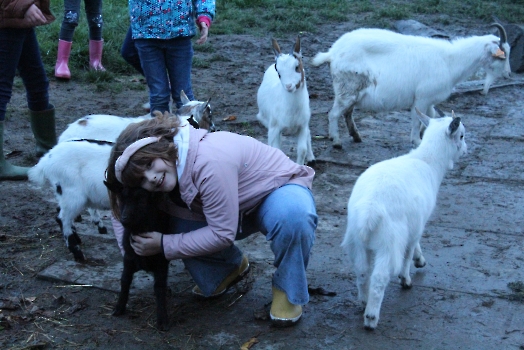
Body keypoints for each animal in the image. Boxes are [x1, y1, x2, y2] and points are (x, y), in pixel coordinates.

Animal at [255, 37, 314, 165]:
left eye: (297, 67)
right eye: (278, 70)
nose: (288, 86)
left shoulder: (302, 125)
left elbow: (302, 150)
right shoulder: (274, 128)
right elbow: (276, 149)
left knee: (308, 133)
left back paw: (311, 158)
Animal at [342, 108, 468, 330]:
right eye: (461, 135)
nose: (467, 150)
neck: (428, 161)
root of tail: (369, 211)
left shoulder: (414, 224)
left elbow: (415, 246)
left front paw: (420, 260)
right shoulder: (416, 225)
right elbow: (408, 253)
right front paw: (406, 278)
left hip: (355, 240)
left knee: (362, 271)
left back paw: (364, 302)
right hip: (388, 242)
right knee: (379, 277)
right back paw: (371, 318)